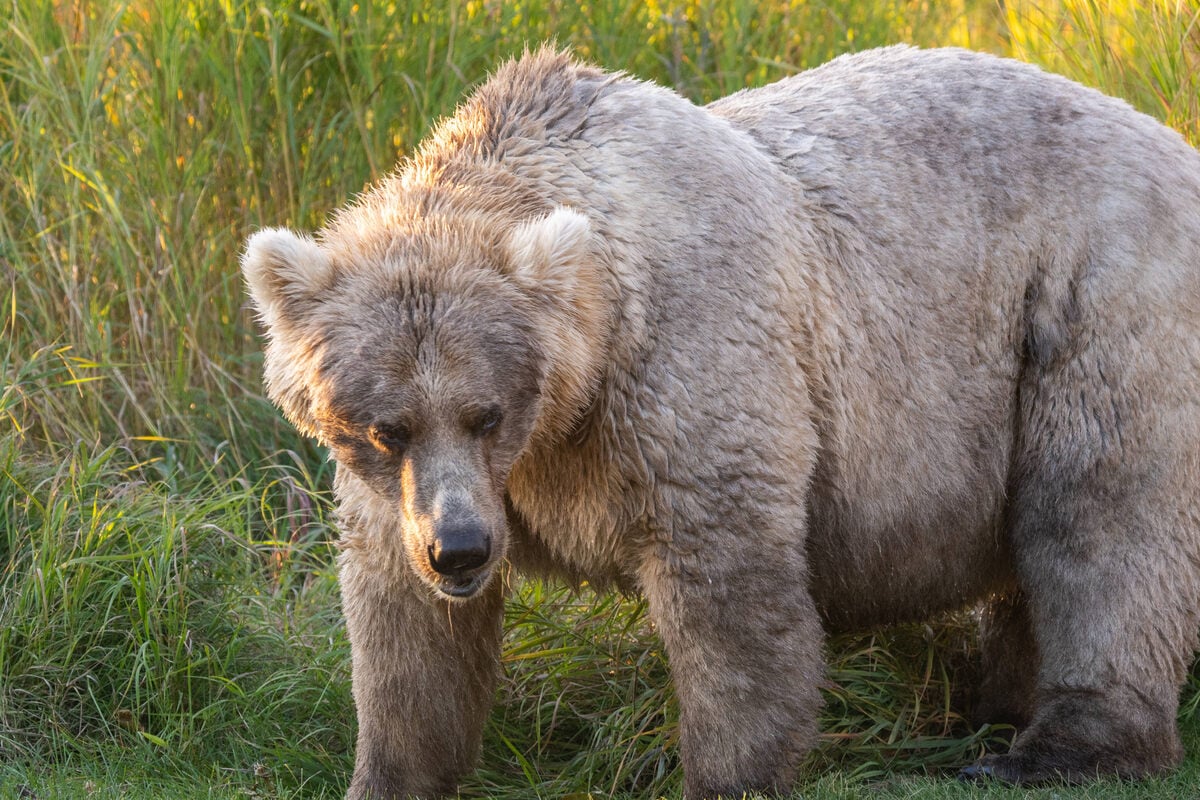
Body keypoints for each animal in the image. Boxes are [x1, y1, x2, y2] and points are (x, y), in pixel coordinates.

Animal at [241, 45, 1200, 799]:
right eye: (385, 427)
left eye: (487, 412)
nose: (463, 550)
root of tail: (1171, 141)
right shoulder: (407, 495)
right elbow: (406, 635)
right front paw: (389, 772)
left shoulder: (685, 372)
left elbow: (728, 593)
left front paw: (727, 773)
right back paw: (992, 702)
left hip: (1089, 299)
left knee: (1102, 515)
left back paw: (1052, 747)